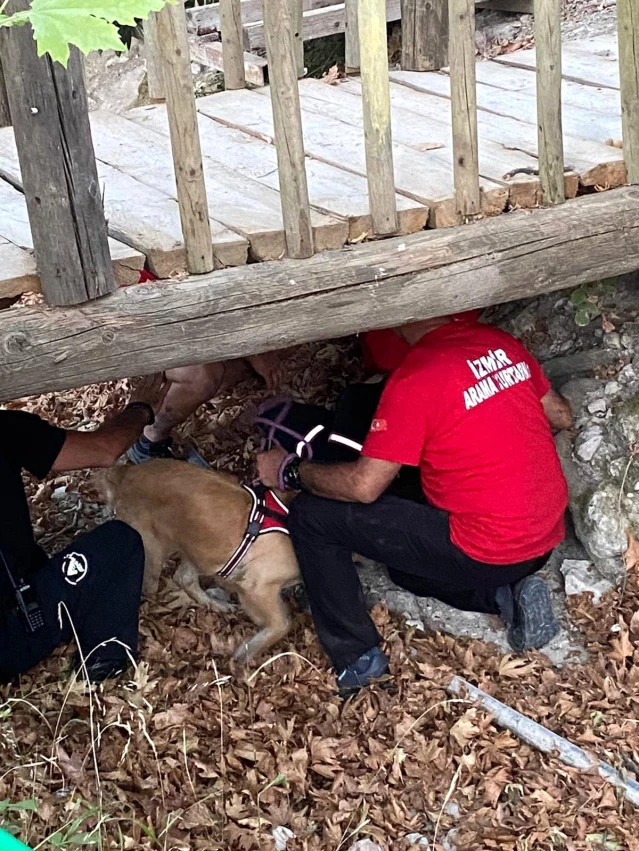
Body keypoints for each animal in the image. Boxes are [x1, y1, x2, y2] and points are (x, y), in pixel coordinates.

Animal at [101, 460, 302, 664]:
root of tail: (126, 472)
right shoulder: (256, 588)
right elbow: (283, 623)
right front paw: (246, 653)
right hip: (154, 549)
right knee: (151, 588)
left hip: (196, 547)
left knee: (184, 578)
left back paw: (215, 604)